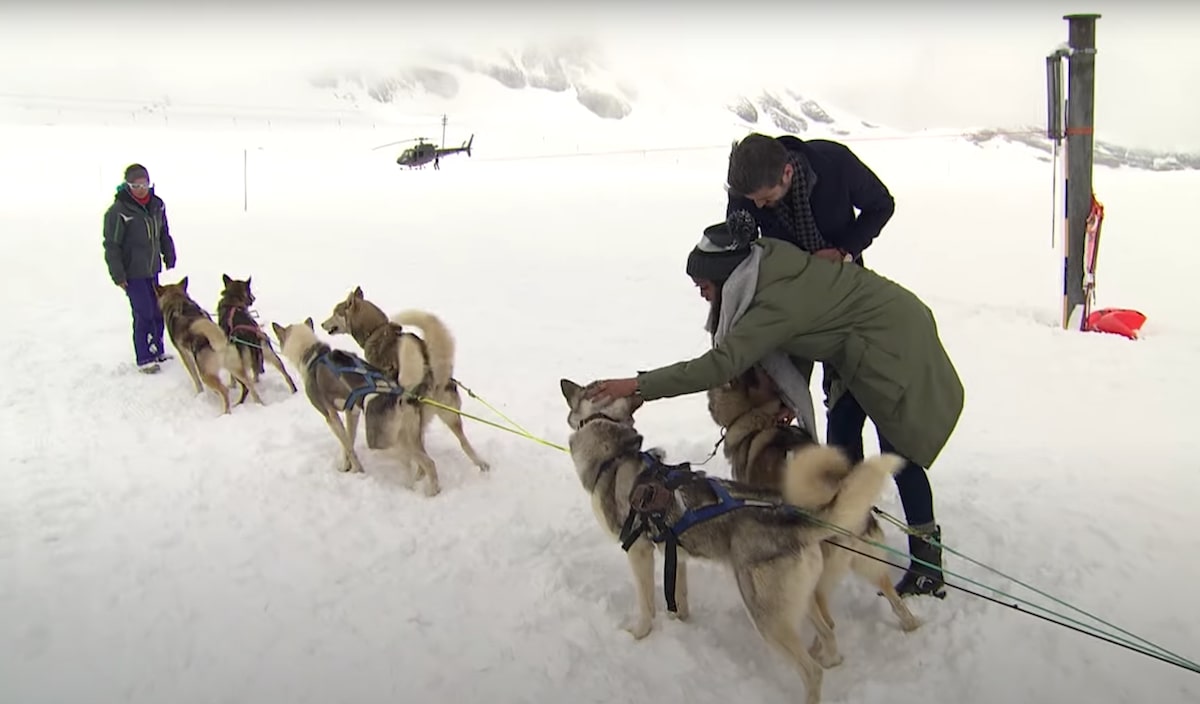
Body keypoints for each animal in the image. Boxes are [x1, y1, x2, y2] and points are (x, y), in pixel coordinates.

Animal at [154, 276, 264, 414]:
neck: (178, 301)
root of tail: (220, 343)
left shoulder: (185, 355)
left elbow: (196, 379)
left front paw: (200, 393)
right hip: (236, 368)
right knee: (249, 385)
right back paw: (259, 404)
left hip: (207, 374)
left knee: (224, 390)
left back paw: (225, 413)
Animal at [318, 287, 490, 494]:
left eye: (336, 312)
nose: (322, 323)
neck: (376, 330)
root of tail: (435, 376)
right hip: (449, 417)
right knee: (463, 443)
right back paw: (480, 464)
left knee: (422, 455)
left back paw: (419, 478)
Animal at [559, 378, 903, 704]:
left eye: (593, 387)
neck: (614, 455)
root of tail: (800, 518)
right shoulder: (675, 554)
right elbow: (678, 598)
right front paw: (680, 623)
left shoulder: (639, 551)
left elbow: (646, 604)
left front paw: (639, 634)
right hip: (799, 601)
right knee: (829, 633)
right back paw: (831, 657)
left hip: (765, 614)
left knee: (812, 671)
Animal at [707, 367, 921, 664]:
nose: (707, 394)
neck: (759, 417)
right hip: (870, 562)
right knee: (891, 595)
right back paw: (909, 623)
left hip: (818, 581)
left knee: (828, 624)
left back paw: (820, 655)